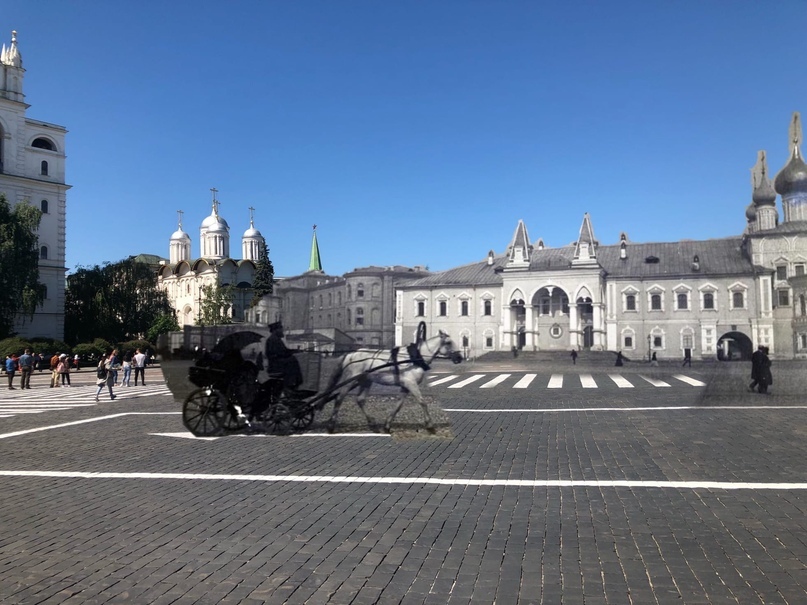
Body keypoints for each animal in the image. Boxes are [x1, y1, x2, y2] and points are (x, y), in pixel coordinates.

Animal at [320, 328, 460, 432]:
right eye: (448, 342)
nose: (459, 357)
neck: (413, 359)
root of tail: (351, 354)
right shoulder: (411, 384)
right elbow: (422, 402)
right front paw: (430, 425)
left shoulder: (405, 386)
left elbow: (398, 405)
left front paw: (387, 424)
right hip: (351, 380)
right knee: (340, 397)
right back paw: (331, 425)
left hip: (365, 381)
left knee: (360, 400)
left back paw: (372, 424)